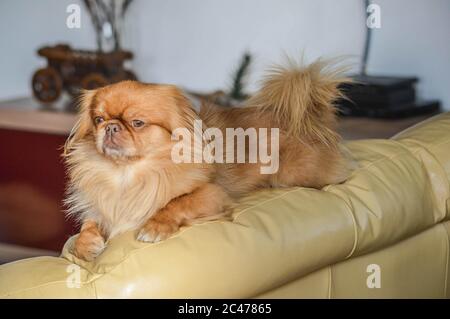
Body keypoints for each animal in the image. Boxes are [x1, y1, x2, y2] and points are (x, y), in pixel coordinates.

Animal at [64, 58, 352, 262]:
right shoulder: (101, 208)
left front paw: (155, 226)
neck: (127, 174)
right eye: (99, 120)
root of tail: (311, 118)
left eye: (137, 123)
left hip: (294, 174)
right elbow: (89, 224)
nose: (111, 127)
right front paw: (86, 244)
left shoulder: (211, 194)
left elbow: (177, 202)